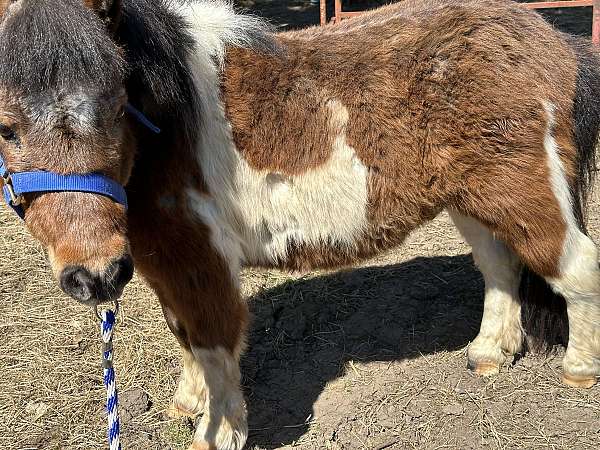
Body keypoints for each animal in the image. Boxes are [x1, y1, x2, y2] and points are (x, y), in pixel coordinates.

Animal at [1, 0, 600, 450]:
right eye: (7, 129)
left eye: (116, 107)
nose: (94, 277)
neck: (169, 127)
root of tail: (554, 41)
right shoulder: (165, 263)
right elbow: (185, 332)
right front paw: (188, 401)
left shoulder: (200, 259)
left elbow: (214, 338)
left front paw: (217, 431)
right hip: (473, 198)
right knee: (499, 266)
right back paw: (488, 354)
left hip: (522, 193)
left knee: (576, 271)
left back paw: (578, 369)